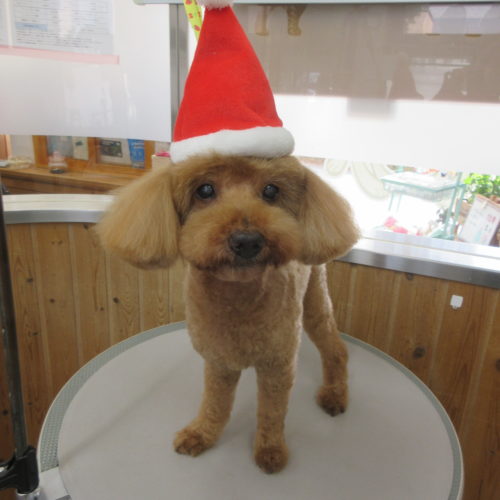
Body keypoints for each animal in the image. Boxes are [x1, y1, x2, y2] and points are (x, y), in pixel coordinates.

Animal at [97, 153, 359, 473]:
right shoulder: (218, 361)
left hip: (314, 299)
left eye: (271, 190)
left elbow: (272, 411)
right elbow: (215, 404)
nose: (247, 240)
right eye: (205, 190)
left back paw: (335, 393)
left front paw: (270, 450)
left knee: (335, 348)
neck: (239, 299)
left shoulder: (278, 365)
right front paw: (201, 434)